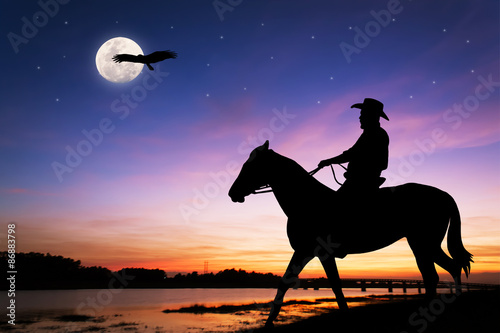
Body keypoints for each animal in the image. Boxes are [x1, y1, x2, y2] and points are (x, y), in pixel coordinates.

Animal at [228, 141, 472, 326]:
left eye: (250, 166)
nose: (232, 193)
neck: (307, 201)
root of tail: (444, 195)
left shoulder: (320, 253)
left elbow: (335, 286)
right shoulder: (304, 252)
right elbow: (285, 283)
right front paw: (269, 322)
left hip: (423, 244)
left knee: (436, 274)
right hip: (425, 244)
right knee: (447, 269)